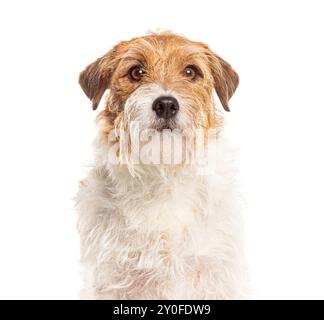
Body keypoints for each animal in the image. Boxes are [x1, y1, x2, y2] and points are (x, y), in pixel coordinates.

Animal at [76, 31, 247, 298]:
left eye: (191, 71)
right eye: (136, 71)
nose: (166, 104)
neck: (163, 173)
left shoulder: (215, 275)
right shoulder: (111, 277)